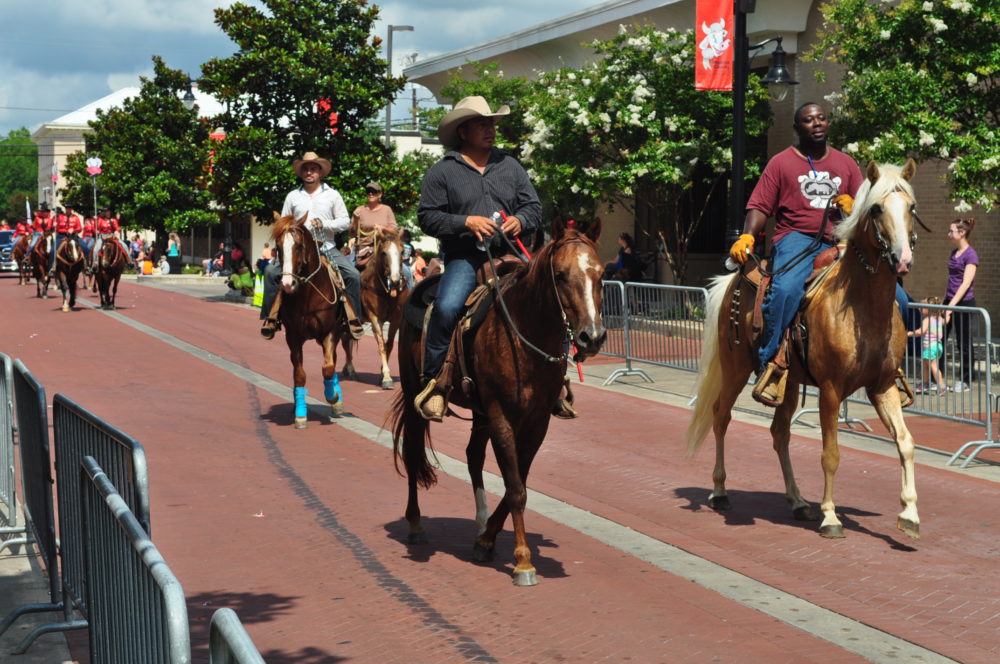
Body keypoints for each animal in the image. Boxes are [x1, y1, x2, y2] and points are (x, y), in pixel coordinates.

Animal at [270, 214, 352, 430]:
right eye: (278, 247)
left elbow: (328, 368)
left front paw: (333, 396)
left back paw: (337, 401)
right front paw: (300, 414)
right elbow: (299, 374)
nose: (287, 284)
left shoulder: (330, 333)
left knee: (333, 363)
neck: (309, 295)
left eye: (299, 245)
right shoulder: (293, 337)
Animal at [392, 218, 604, 588]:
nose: (591, 337)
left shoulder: (536, 422)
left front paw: (487, 540)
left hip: (479, 414)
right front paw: (523, 563)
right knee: (413, 451)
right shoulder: (502, 415)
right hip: (415, 392)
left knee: (473, 457)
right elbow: (516, 488)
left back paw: (479, 521)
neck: (524, 335)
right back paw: (415, 524)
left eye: (602, 273)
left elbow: (517, 482)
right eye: (561, 274)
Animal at [688, 160, 920, 540]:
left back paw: (797, 501)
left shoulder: (883, 385)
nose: (902, 259)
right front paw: (831, 517)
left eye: (911, 208)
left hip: (790, 379)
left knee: (779, 432)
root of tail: (737, 277)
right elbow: (831, 454)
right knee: (721, 415)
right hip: (735, 366)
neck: (861, 305)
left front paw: (910, 514)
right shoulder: (831, 389)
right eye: (876, 208)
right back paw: (720, 491)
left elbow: (905, 442)